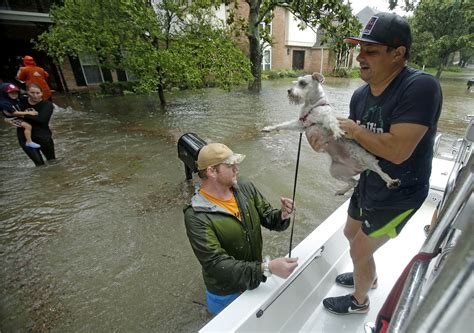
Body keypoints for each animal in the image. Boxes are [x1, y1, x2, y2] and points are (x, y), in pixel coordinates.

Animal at [262, 71, 400, 193]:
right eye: (296, 82)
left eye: (302, 83)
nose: (289, 90)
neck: (312, 106)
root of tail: (361, 167)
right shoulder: (301, 124)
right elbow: (284, 125)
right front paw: (269, 128)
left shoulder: (327, 117)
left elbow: (332, 122)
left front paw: (337, 132)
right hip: (336, 172)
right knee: (354, 182)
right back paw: (341, 191)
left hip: (366, 158)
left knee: (380, 172)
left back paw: (392, 181)